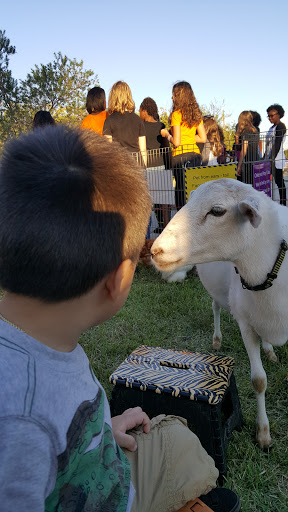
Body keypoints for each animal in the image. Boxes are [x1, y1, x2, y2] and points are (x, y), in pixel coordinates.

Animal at [151, 179, 288, 448]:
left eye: (217, 211)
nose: (156, 251)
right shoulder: (245, 323)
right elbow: (259, 381)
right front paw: (263, 434)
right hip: (214, 289)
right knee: (215, 308)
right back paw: (217, 340)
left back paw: (269, 350)